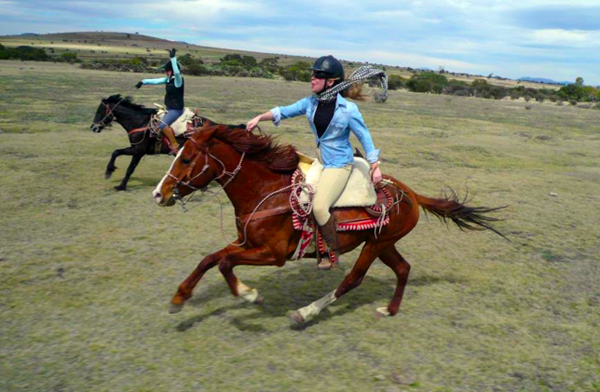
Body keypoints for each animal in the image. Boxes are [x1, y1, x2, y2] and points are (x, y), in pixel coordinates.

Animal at [152, 125, 504, 322]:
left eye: (186, 158)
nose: (159, 193)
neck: (264, 191)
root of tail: (411, 194)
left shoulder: (273, 254)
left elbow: (225, 263)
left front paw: (248, 294)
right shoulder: (245, 243)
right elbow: (210, 259)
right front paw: (179, 299)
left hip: (376, 244)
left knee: (353, 279)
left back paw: (306, 312)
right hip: (382, 243)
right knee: (403, 269)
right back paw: (389, 310)